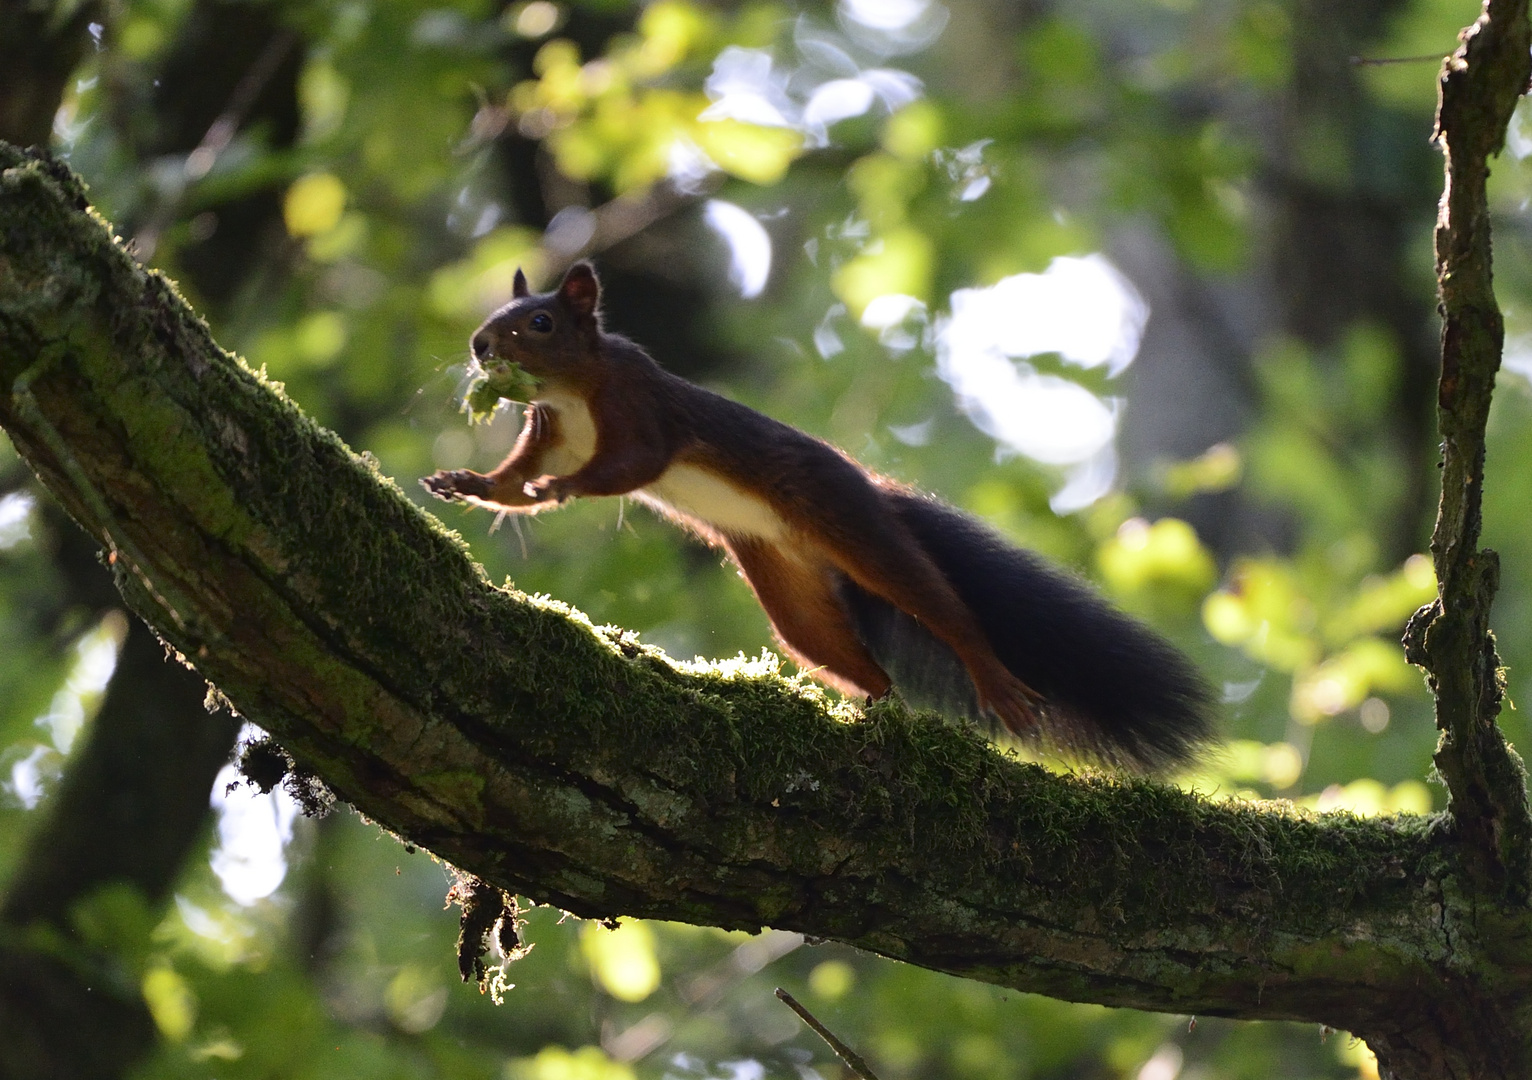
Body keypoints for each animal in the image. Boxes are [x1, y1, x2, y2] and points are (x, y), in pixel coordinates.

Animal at [425, 260, 1213, 765]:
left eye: (540, 320)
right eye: (494, 317)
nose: (479, 346)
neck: (571, 393)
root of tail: (871, 486)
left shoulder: (640, 408)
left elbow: (633, 465)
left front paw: (562, 490)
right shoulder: (548, 432)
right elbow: (513, 477)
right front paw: (471, 483)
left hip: (849, 522)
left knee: (943, 606)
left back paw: (990, 679)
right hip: (789, 588)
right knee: (856, 660)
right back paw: (869, 712)